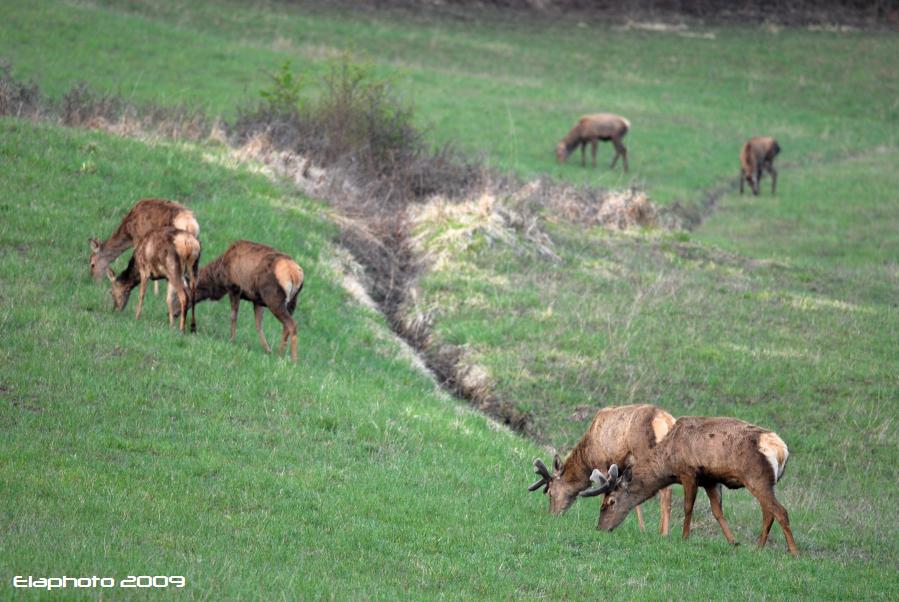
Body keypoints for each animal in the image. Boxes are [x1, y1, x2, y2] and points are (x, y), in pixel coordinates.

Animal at [171, 239, 304, 360]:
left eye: (180, 294)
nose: (173, 313)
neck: (218, 276)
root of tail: (296, 275)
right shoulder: (257, 300)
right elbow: (258, 325)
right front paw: (268, 350)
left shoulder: (234, 288)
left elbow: (233, 316)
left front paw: (232, 340)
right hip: (292, 302)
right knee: (286, 326)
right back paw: (280, 354)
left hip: (274, 299)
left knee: (292, 325)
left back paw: (293, 359)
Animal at [528, 406, 676, 532]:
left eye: (550, 492)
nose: (552, 514)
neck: (587, 456)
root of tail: (665, 421)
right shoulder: (622, 468)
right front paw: (640, 528)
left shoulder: (602, 463)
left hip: (647, 453)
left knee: (665, 490)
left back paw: (663, 532)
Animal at [592, 414, 800, 556]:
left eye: (611, 501)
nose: (600, 528)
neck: (668, 463)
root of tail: (782, 449)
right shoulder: (710, 480)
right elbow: (717, 511)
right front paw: (733, 542)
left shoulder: (689, 473)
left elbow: (688, 507)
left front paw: (684, 538)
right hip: (764, 482)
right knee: (769, 513)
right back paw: (758, 547)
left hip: (757, 477)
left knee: (780, 511)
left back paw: (794, 551)